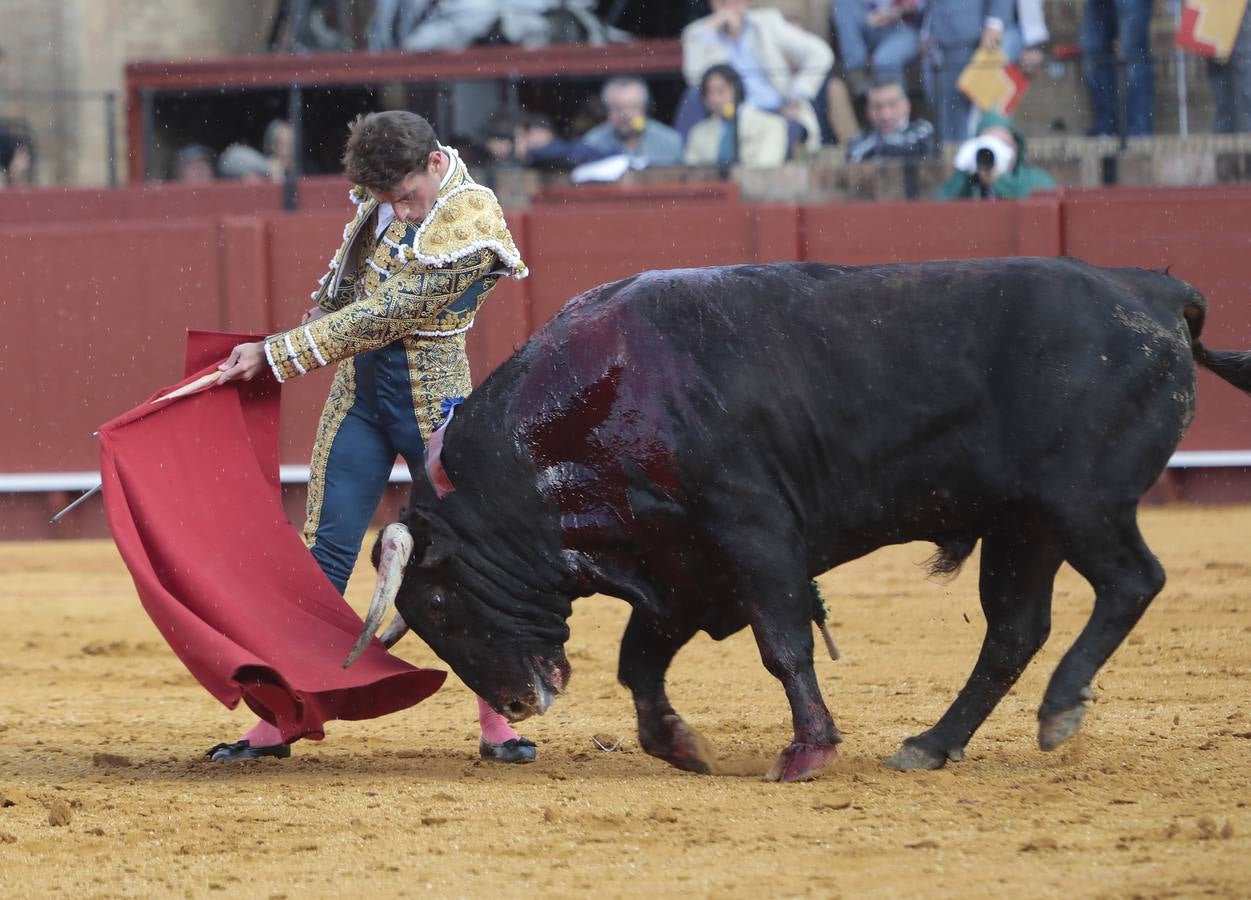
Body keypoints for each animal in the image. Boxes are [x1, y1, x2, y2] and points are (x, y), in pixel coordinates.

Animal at [350, 259, 1251, 781]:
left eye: (436, 605)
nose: (521, 702)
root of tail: (1156, 292)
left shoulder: (751, 536)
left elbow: (781, 645)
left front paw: (805, 750)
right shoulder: (681, 564)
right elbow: (640, 662)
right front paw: (679, 746)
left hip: (1081, 504)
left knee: (1130, 581)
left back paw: (1059, 708)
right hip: (1021, 524)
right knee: (1013, 629)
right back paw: (931, 744)